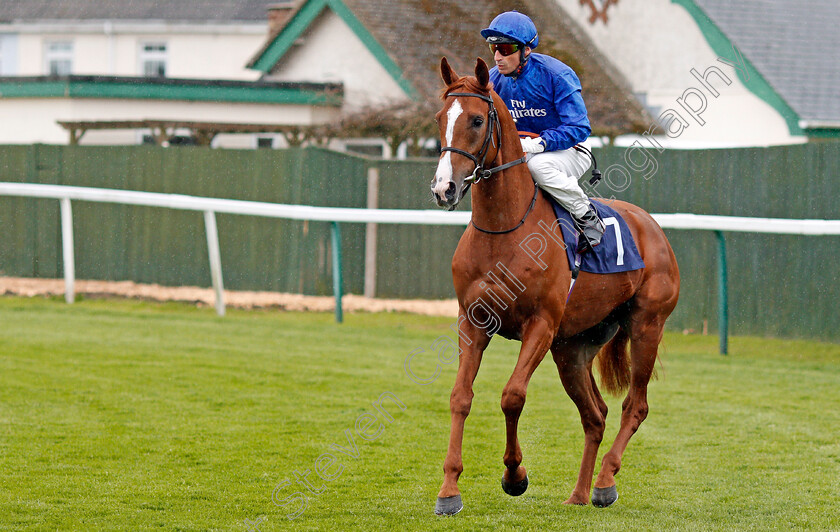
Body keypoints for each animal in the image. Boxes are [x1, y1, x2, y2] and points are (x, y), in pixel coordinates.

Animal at [430, 58, 680, 516]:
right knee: (595, 414)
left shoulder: (541, 325)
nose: (444, 188)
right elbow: (460, 396)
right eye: (440, 118)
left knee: (634, 406)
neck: (504, 230)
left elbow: (512, 396)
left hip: (646, 326)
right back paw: (579, 493)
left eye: (476, 120)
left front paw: (515, 476)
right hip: (574, 348)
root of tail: (651, 227)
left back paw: (604, 482)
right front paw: (449, 490)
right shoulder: (472, 322)